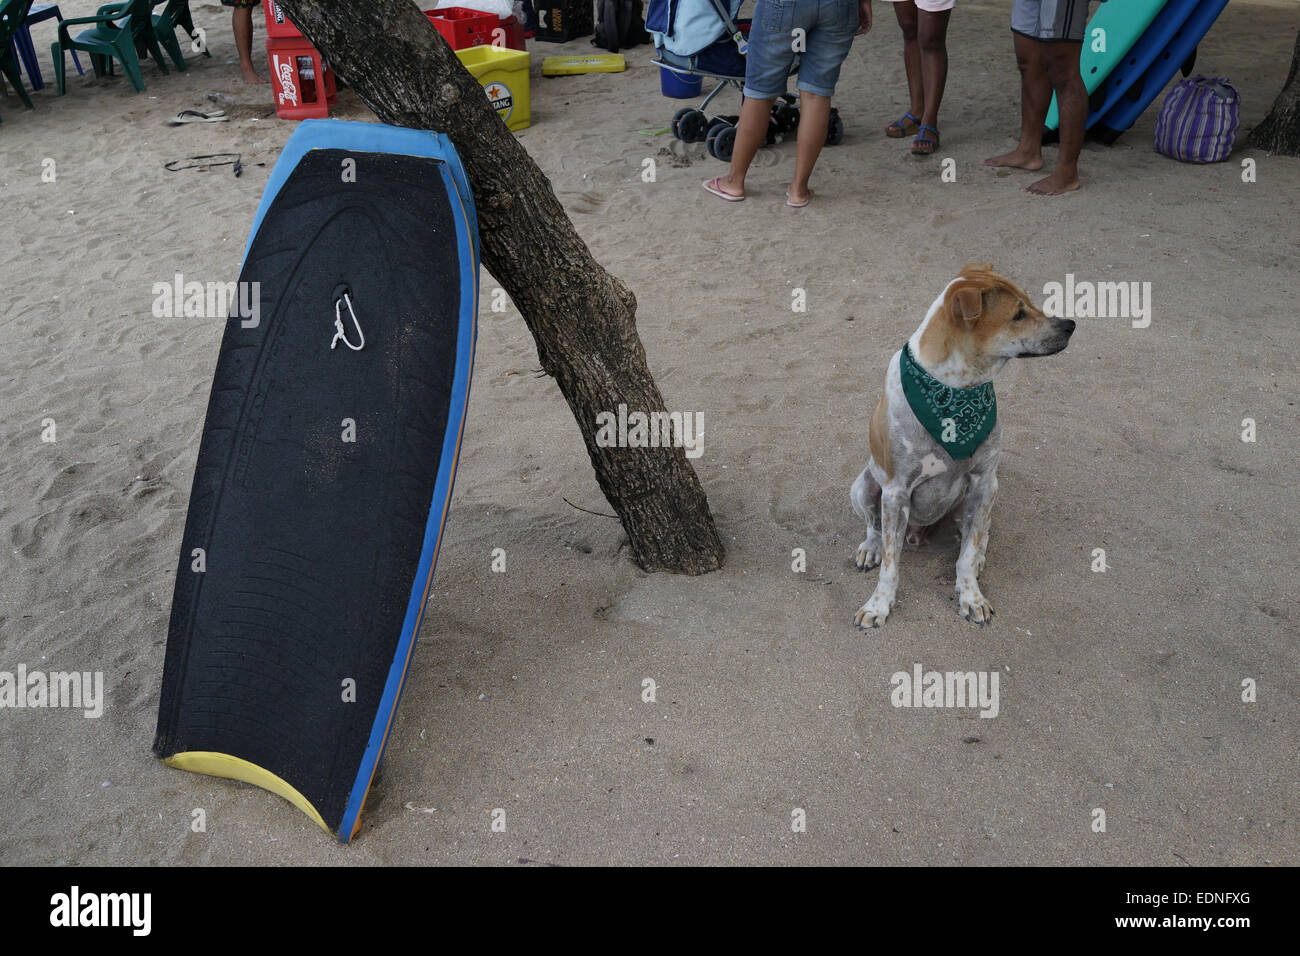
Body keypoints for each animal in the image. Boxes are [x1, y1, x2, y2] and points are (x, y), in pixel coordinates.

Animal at [847, 265, 1071, 632]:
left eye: (1030, 304)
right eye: (1018, 314)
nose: (1071, 324)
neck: (955, 390)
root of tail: (918, 535)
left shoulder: (983, 482)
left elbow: (966, 556)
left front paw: (972, 596)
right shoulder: (895, 492)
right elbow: (891, 566)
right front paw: (878, 604)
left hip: (984, 496)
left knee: (978, 535)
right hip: (864, 486)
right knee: (874, 526)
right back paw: (871, 547)